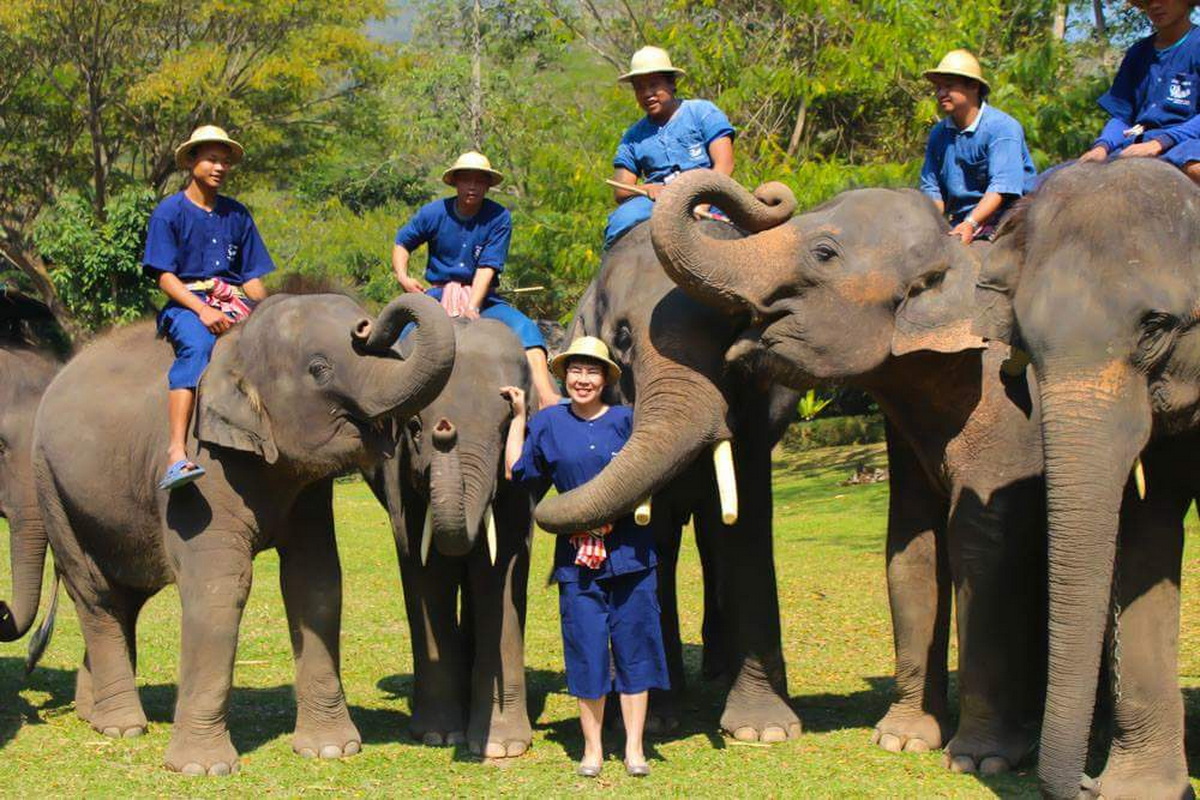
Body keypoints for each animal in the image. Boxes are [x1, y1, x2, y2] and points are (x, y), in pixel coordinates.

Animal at [32, 292, 456, 777]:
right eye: (319, 368)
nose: (367, 326)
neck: (237, 348)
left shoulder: (308, 491)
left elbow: (315, 582)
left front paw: (331, 750)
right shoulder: (201, 475)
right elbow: (221, 588)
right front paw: (203, 769)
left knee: (125, 598)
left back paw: (93, 714)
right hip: (51, 488)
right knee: (95, 594)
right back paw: (122, 727)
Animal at [364, 316, 535, 758]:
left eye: (505, 427)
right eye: (414, 427)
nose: (445, 430)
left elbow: (500, 572)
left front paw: (501, 747)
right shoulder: (398, 474)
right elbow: (425, 571)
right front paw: (439, 736)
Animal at [537, 214, 801, 743]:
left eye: (732, 337)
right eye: (621, 337)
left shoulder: (755, 410)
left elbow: (746, 528)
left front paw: (765, 731)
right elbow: (651, 536)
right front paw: (657, 719)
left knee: (714, 539)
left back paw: (719, 669)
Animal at [638, 170, 1051, 777]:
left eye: (824, 253)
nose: (769, 192)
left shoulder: (1010, 411)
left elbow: (985, 550)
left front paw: (980, 760)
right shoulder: (907, 433)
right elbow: (912, 549)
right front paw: (904, 740)